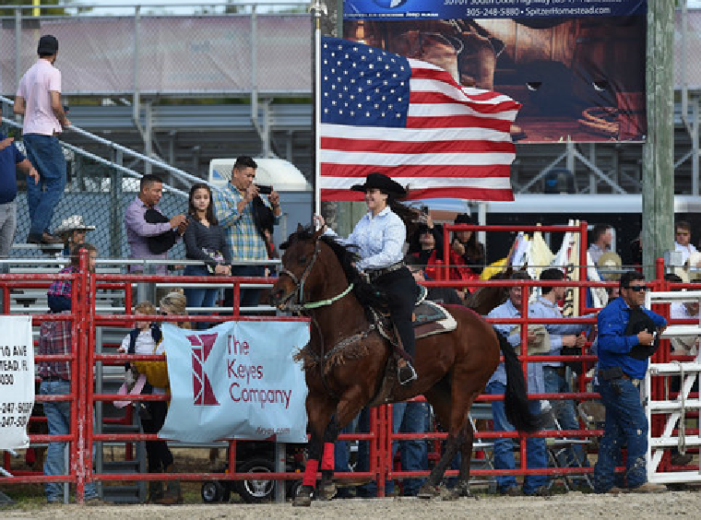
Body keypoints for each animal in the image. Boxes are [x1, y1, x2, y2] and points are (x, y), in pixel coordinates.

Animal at [268, 226, 536, 504]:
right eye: (284, 256)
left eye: (302, 259)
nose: (277, 292)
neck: (345, 326)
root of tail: (488, 327)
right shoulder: (317, 397)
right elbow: (316, 441)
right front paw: (306, 489)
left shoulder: (355, 395)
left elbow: (331, 432)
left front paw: (328, 485)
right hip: (439, 390)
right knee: (466, 434)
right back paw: (458, 486)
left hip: (465, 386)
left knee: (454, 435)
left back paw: (429, 484)